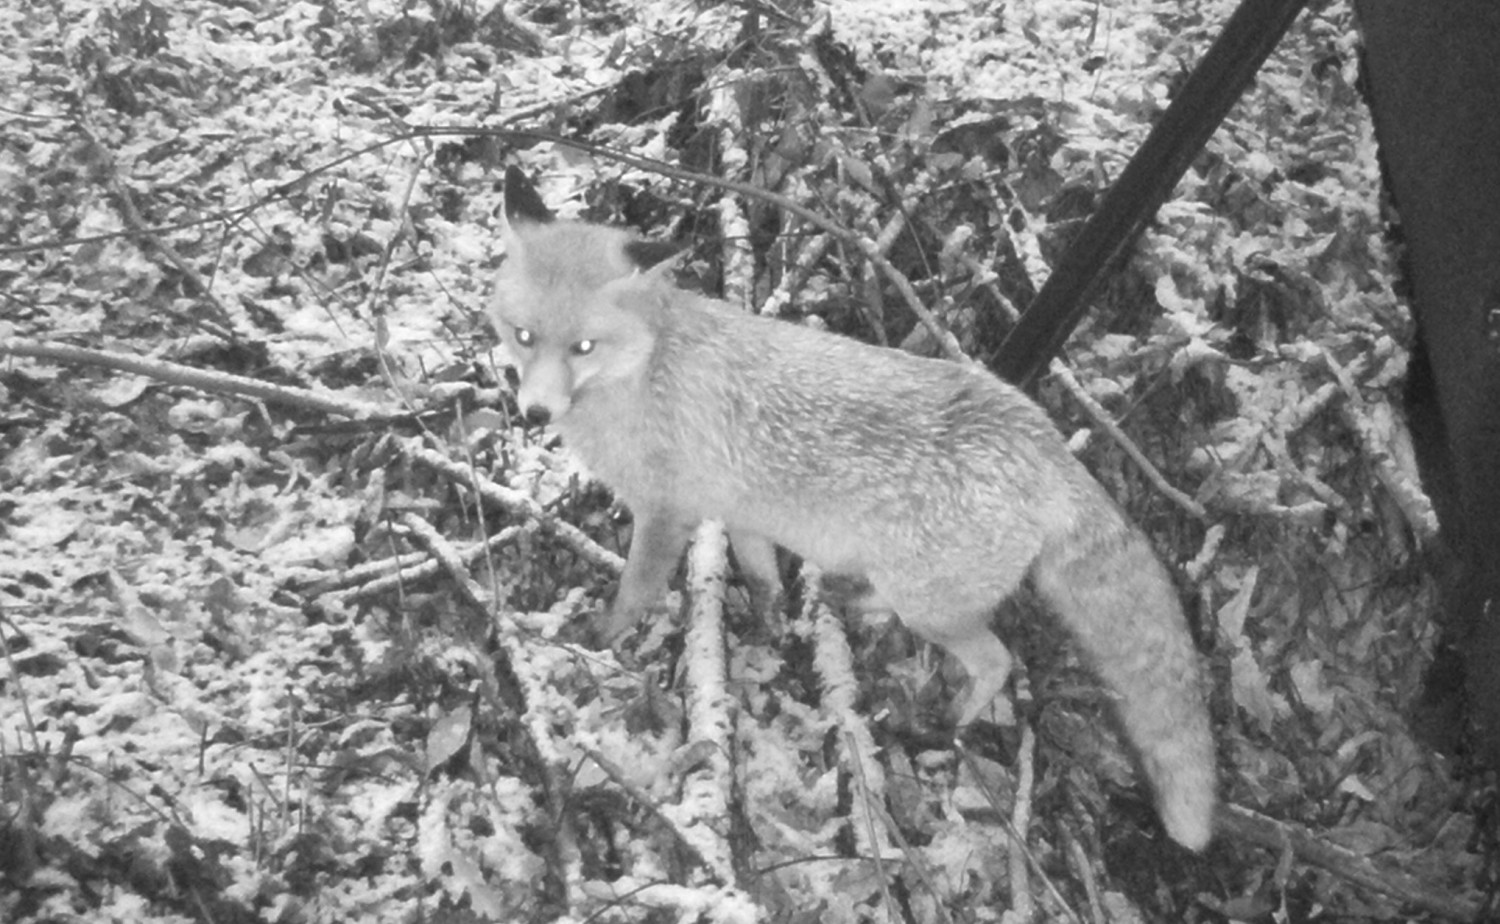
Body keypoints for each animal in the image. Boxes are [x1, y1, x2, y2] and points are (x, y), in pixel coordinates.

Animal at [492, 168, 1218, 852]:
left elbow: (636, 590)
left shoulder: (665, 513)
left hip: (933, 605)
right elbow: (761, 575)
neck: (647, 370)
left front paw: (601, 635)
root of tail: (1041, 436)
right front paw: (770, 626)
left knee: (997, 660)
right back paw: (856, 605)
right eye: (522, 335)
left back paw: (948, 722)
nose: (534, 414)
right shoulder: (741, 509)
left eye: (584, 349)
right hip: (916, 582)